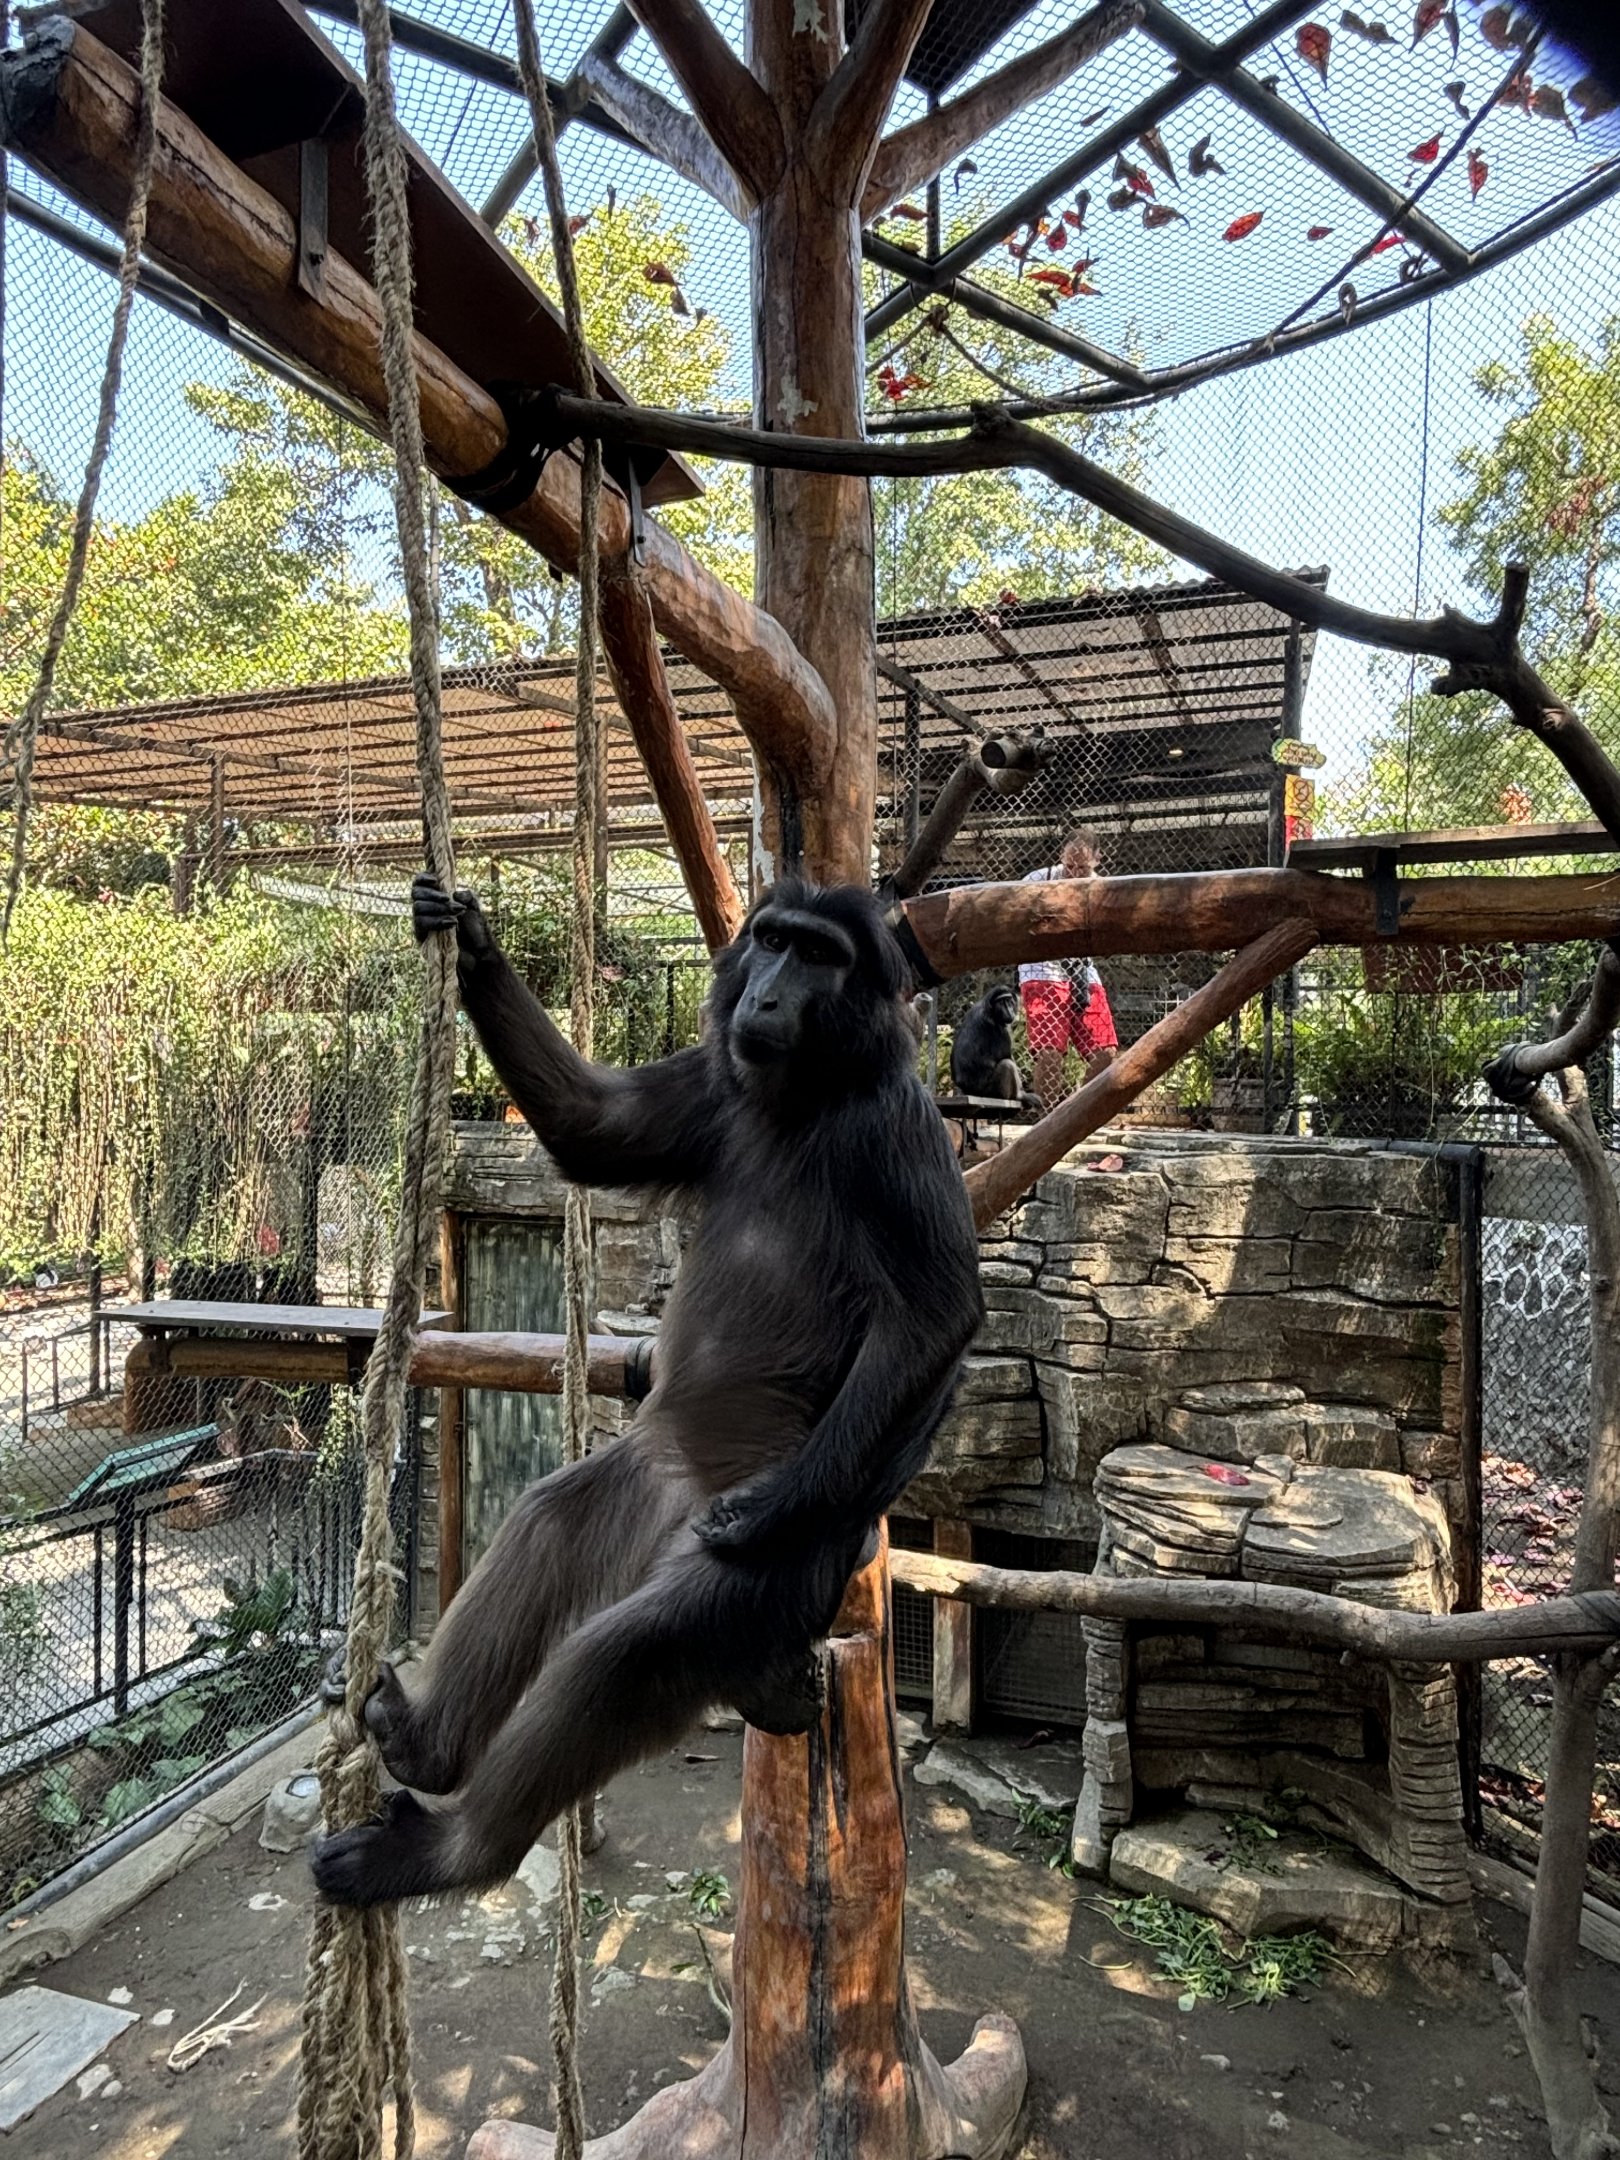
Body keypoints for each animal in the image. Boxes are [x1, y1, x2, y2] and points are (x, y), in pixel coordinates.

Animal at [310, 875, 983, 1906]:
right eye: (774, 941)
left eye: (821, 956)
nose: (767, 996)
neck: (801, 1099)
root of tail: (685, 1498)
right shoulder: (718, 1080)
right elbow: (595, 1128)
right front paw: (468, 935)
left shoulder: (896, 1124)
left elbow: (941, 1317)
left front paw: (768, 1506)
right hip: (650, 1475)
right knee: (549, 1521)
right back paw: (423, 1746)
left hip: (786, 1579)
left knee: (638, 1647)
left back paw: (452, 1851)